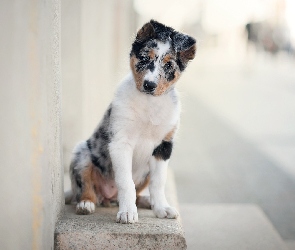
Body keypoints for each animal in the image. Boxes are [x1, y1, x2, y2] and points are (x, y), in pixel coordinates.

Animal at [66, 18, 198, 224]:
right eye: (144, 58)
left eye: (169, 66)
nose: (149, 85)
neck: (149, 104)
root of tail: (108, 198)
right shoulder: (121, 143)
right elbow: (125, 182)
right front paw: (127, 212)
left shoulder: (164, 147)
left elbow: (158, 182)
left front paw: (161, 208)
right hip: (82, 154)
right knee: (85, 187)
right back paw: (86, 204)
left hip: (145, 172)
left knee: (139, 191)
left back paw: (146, 202)